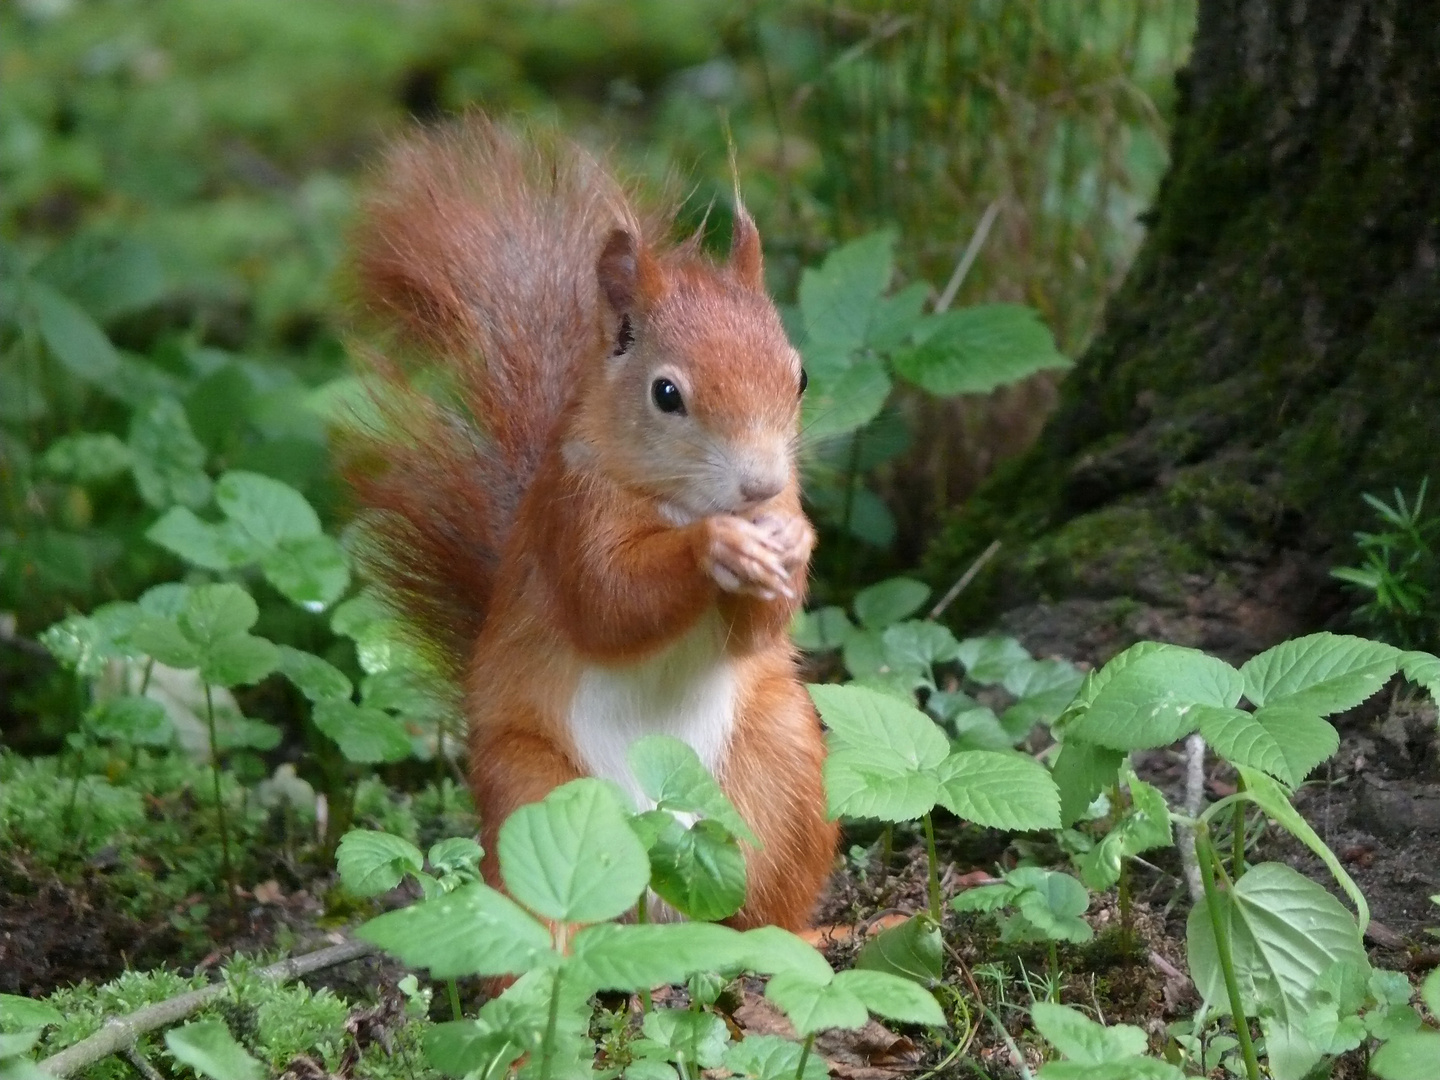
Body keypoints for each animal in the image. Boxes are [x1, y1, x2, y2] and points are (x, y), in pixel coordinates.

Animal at [344, 116, 840, 933]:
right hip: (533, 792)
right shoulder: (572, 516)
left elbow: (757, 632)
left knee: (758, 915)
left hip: (783, 764)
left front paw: (791, 545)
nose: (761, 485)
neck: (680, 500)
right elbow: (610, 602)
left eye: (799, 376)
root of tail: (657, 896)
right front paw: (713, 546)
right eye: (666, 394)